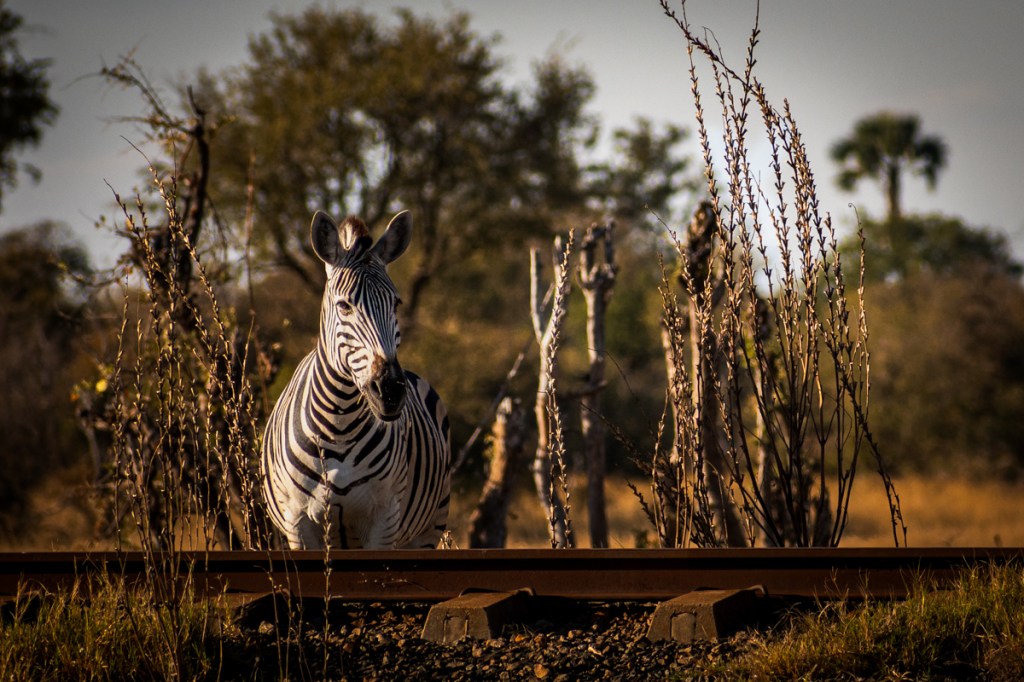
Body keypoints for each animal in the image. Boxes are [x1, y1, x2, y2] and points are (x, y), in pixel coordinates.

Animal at [261, 210, 451, 549]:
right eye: (344, 305)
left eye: (396, 303)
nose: (389, 390)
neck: (340, 423)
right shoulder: (297, 522)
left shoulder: (384, 520)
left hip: (428, 527)